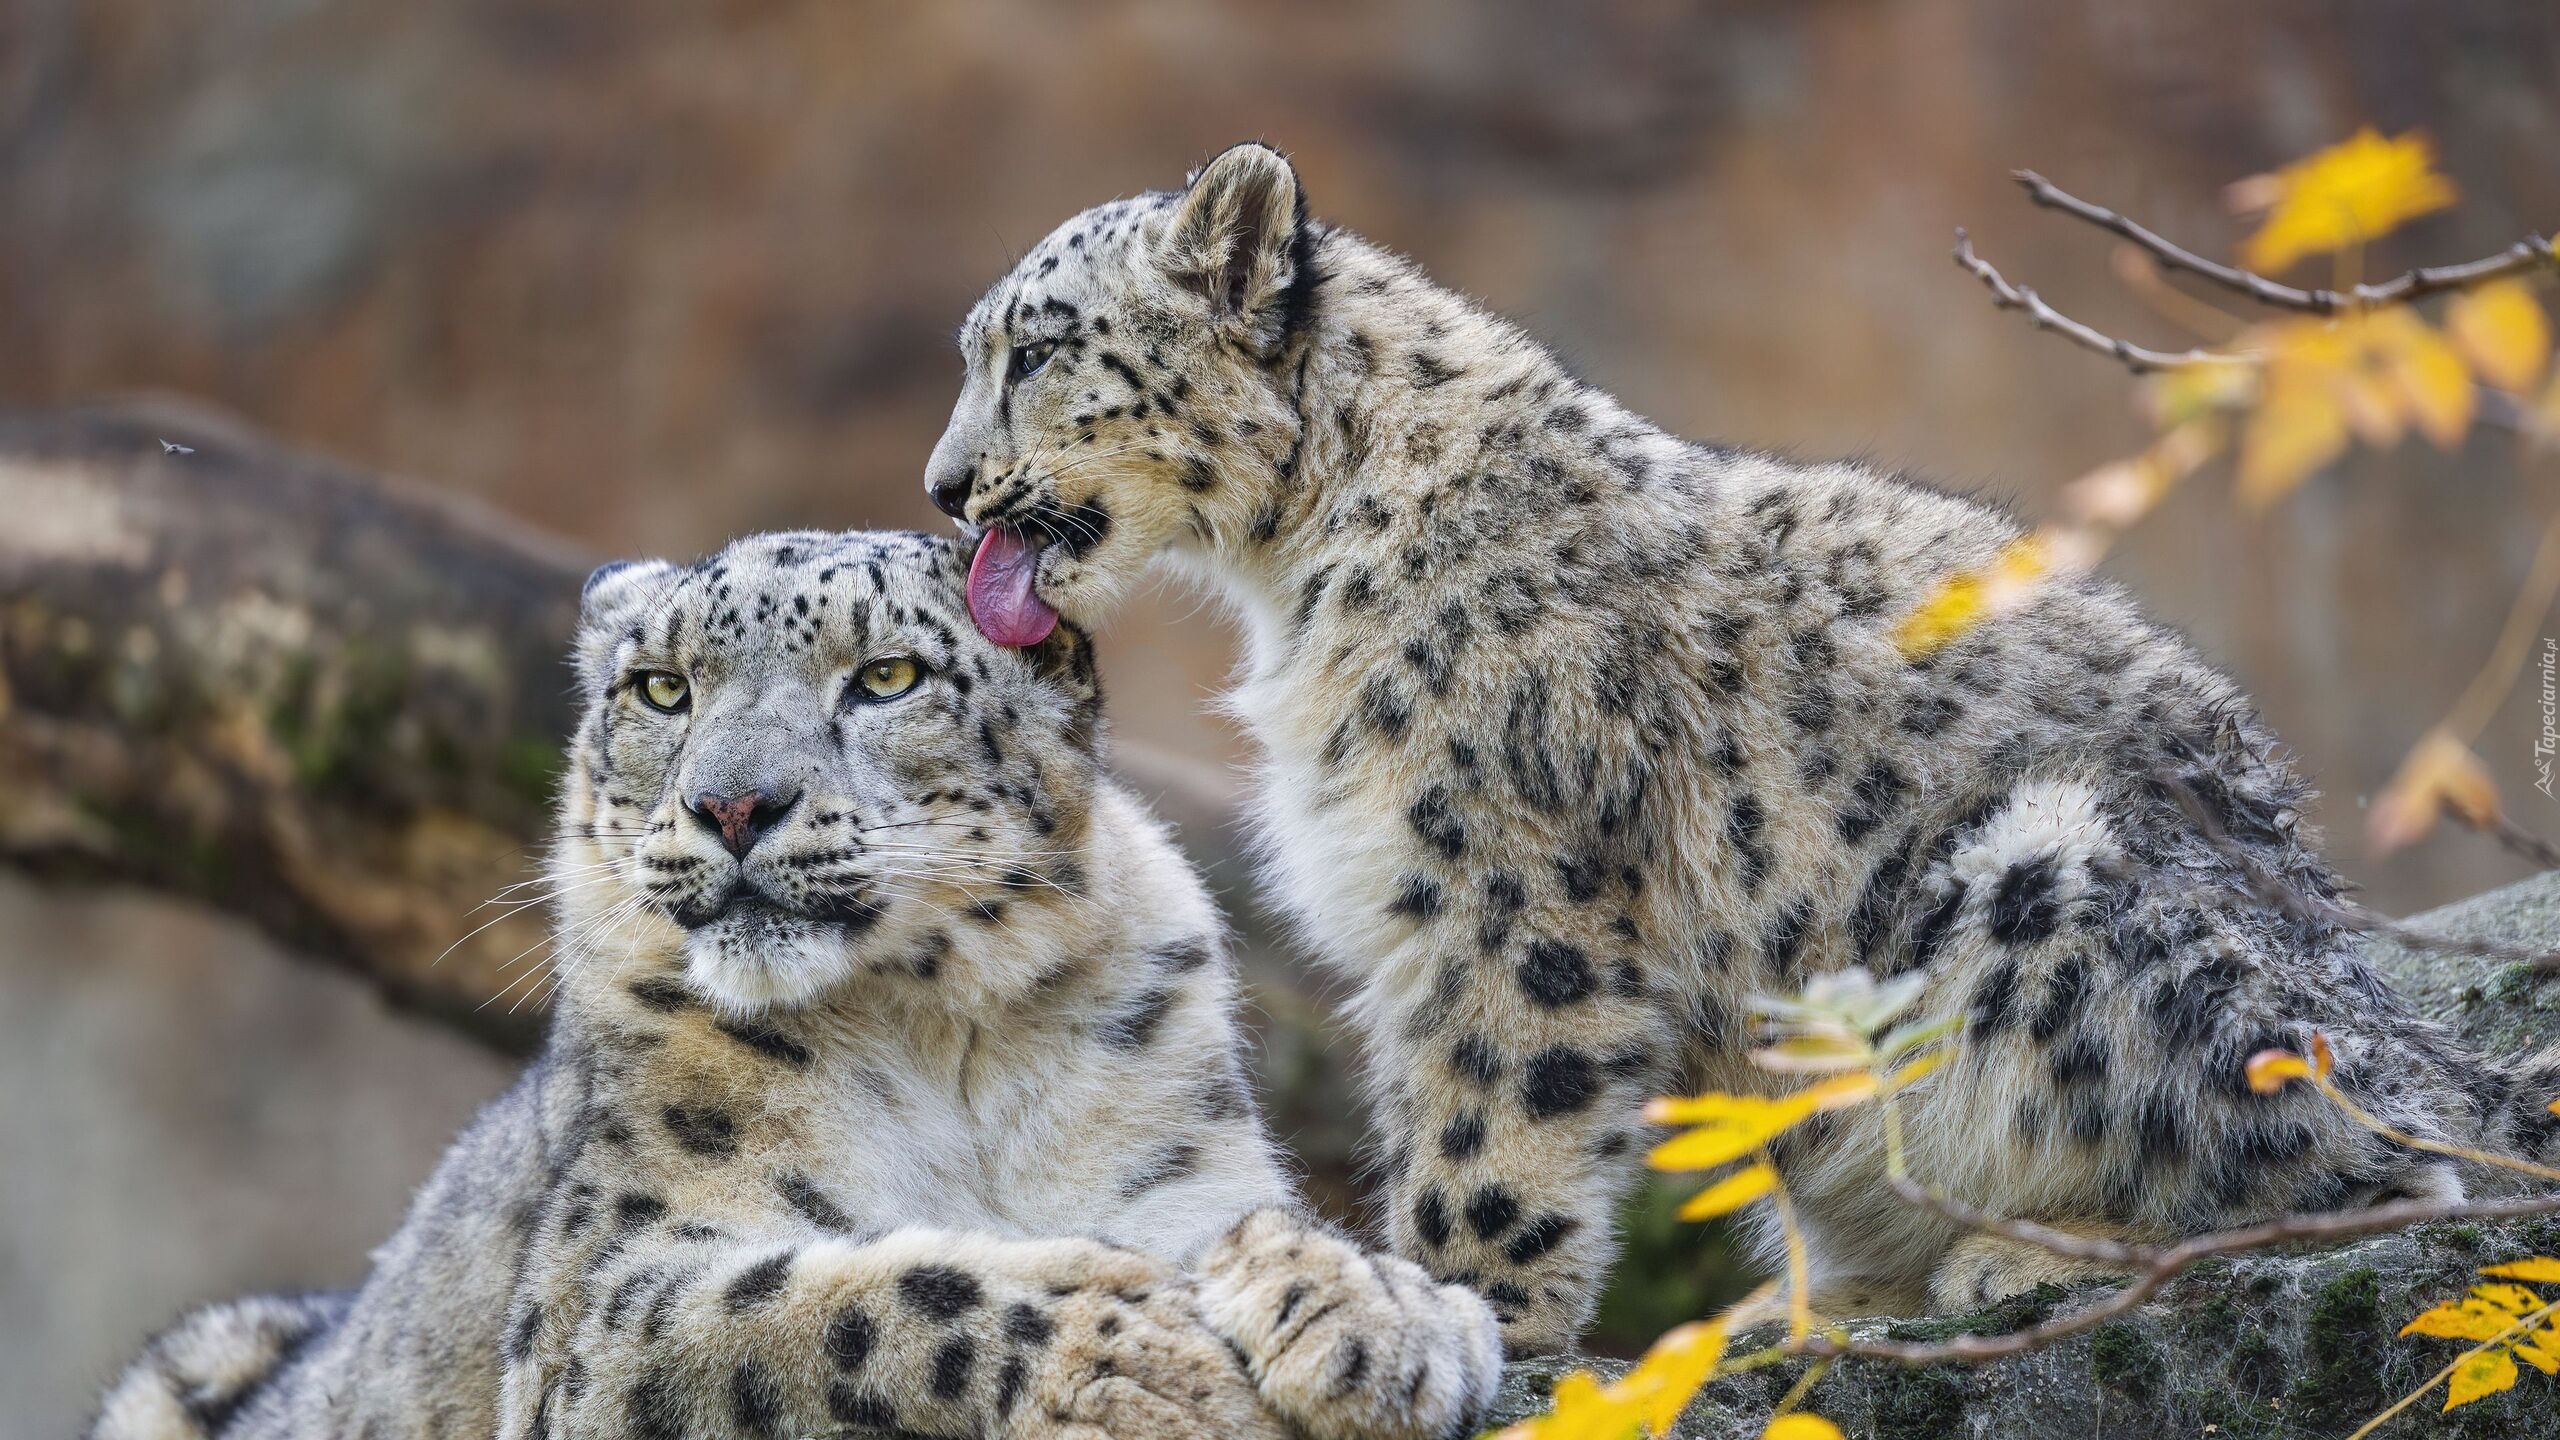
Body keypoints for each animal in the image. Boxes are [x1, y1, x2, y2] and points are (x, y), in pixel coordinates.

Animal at [94, 527, 1495, 1434]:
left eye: (886, 676)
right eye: (661, 687)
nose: (732, 804)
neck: (944, 1043)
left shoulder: (1176, 1178)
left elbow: (1261, 1225)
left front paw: (1393, 1320)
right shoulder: (606, 1304)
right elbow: (844, 1302)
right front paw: (1136, 1348)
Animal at [921, 140, 2560, 1352]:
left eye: (1037, 348)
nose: (941, 485)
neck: (1297, 569)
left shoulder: (1507, 890)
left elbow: (1488, 1136)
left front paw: (1464, 1315)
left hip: (2065, 889)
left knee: (2375, 1169)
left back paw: (2027, 1261)